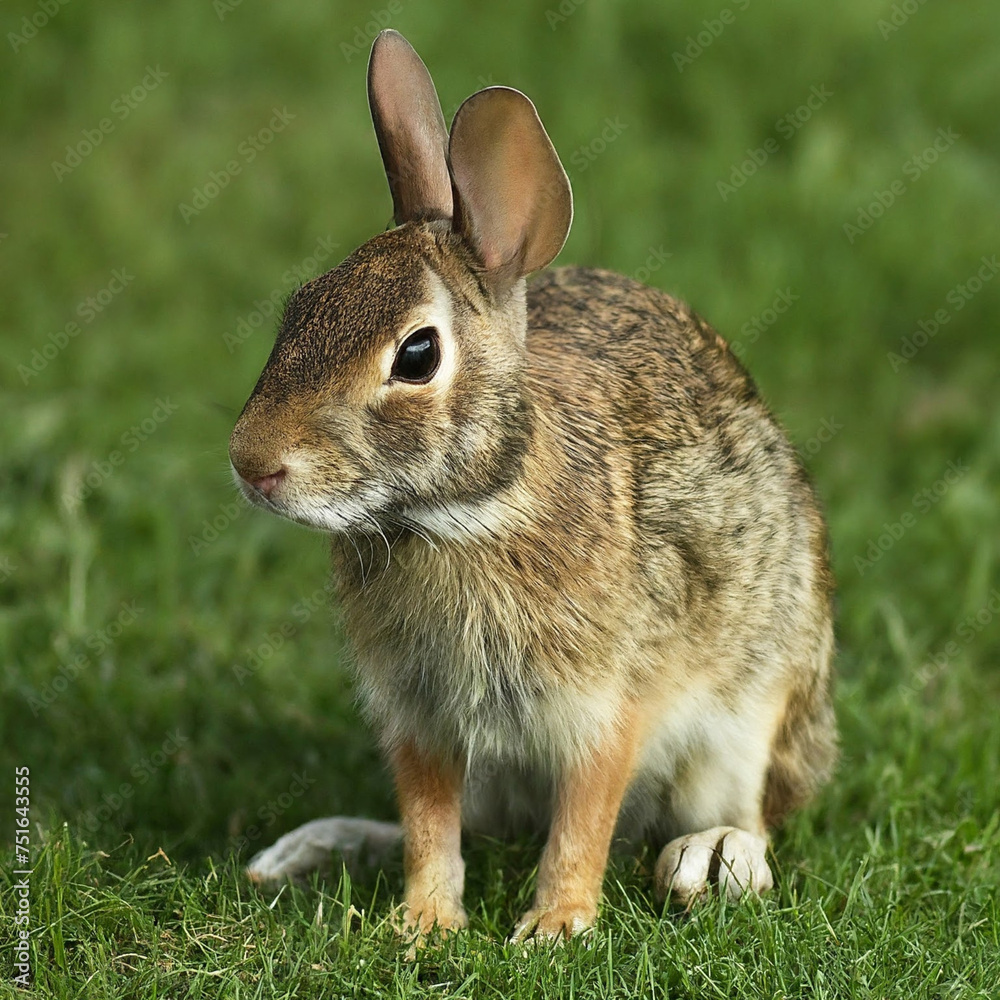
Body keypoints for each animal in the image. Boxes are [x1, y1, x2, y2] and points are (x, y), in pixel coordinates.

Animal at [228, 28, 836, 942]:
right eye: (301, 306)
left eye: (417, 354)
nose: (251, 462)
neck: (464, 512)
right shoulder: (419, 717)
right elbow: (429, 823)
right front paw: (423, 926)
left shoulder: (605, 705)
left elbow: (583, 817)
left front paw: (554, 929)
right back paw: (315, 846)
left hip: (753, 706)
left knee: (751, 811)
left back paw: (713, 856)